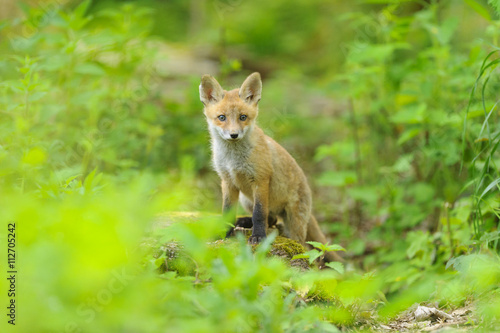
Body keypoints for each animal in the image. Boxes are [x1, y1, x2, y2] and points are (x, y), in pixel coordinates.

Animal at [199, 72, 340, 262]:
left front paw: (258, 237)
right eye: (222, 117)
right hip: (245, 199)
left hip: (293, 223)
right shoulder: (227, 181)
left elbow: (259, 214)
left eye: (243, 117)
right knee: (271, 219)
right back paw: (243, 221)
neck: (234, 160)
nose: (234, 135)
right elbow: (227, 211)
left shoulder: (260, 179)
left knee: (301, 244)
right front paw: (225, 233)